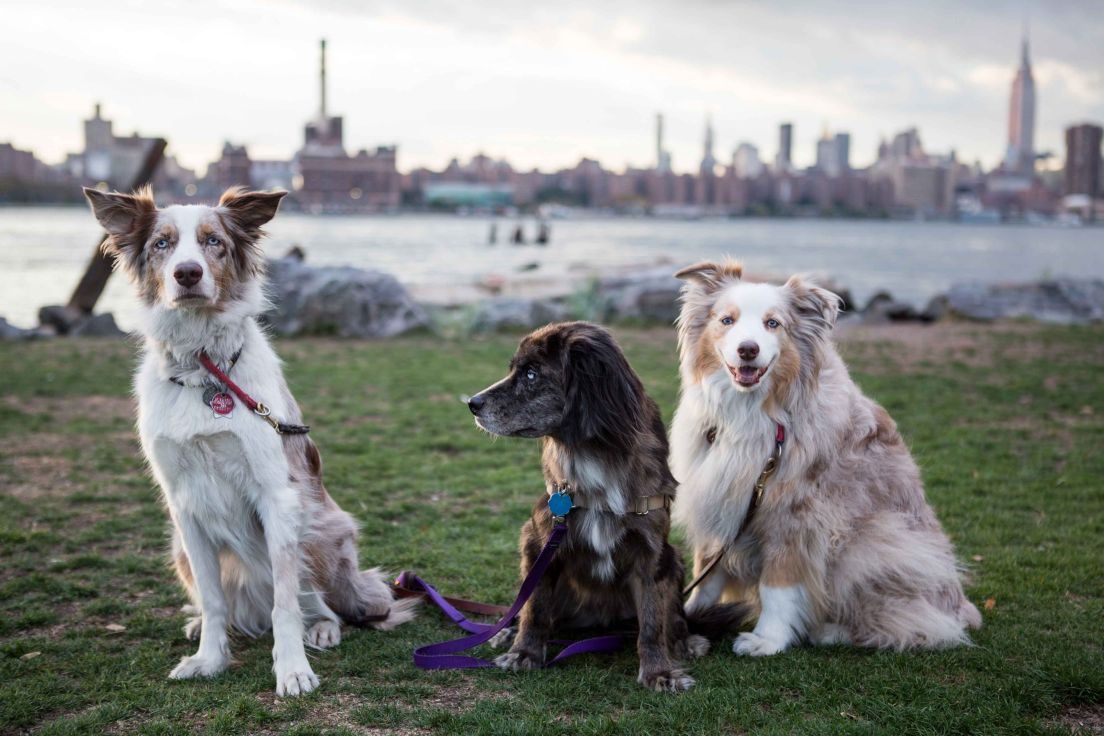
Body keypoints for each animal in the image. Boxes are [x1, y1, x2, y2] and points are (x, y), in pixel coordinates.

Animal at [83, 185, 415, 697]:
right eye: (162, 244)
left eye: (213, 241)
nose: (187, 272)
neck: (201, 369)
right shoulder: (185, 508)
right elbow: (213, 598)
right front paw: (210, 657)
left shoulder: (277, 495)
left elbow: (286, 602)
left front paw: (293, 669)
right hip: (177, 546)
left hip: (320, 528)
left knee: (320, 602)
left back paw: (322, 628)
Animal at [465, 320, 741, 692]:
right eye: (515, 370)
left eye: (532, 374)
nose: (472, 403)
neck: (593, 453)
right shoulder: (542, 540)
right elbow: (534, 607)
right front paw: (523, 653)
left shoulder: (651, 553)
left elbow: (652, 622)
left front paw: (659, 671)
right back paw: (507, 631)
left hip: (675, 560)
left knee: (673, 617)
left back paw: (684, 640)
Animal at [666, 261, 980, 653]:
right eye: (727, 320)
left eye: (773, 323)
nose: (748, 349)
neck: (752, 412)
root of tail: (962, 608)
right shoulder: (720, 498)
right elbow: (706, 573)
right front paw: (689, 620)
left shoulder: (796, 515)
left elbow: (778, 586)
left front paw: (767, 639)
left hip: (875, 543)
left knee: (914, 622)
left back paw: (833, 631)